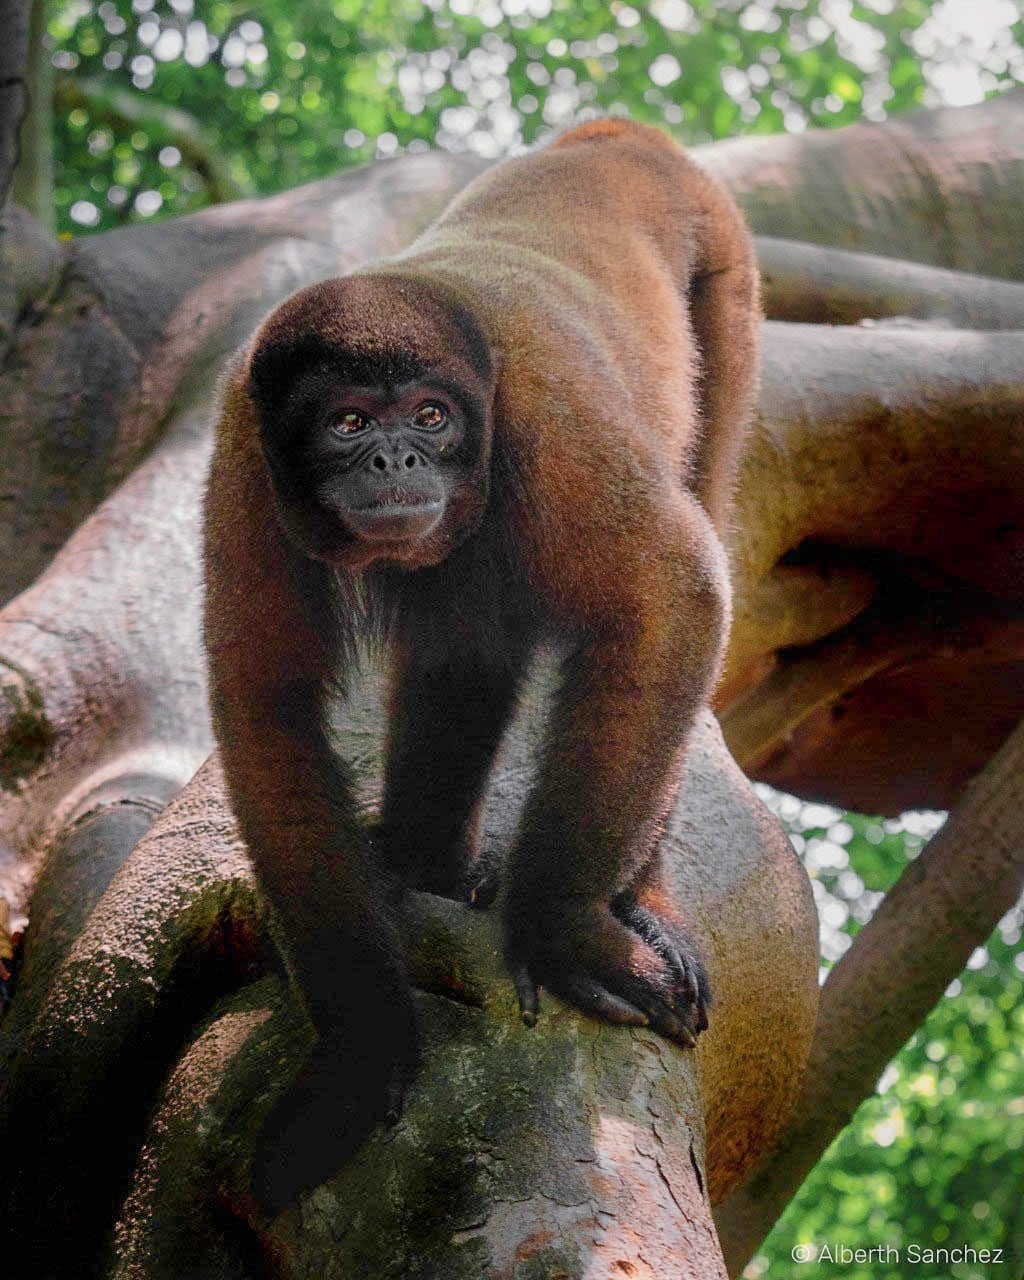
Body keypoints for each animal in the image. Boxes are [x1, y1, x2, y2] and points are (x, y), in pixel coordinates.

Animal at [203, 117, 760, 1211]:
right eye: (347, 422)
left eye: (430, 417)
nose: (395, 460)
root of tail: (617, 138)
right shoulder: (244, 451)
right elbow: (267, 702)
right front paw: (360, 1055)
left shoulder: (547, 412)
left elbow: (674, 596)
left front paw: (564, 929)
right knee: (465, 635)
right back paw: (428, 860)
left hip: (726, 271)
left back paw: (640, 900)